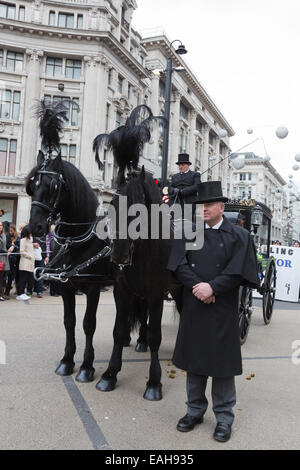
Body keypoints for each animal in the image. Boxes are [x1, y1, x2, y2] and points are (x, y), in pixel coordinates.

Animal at [25, 151, 112, 382]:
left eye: (53, 186)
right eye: (32, 185)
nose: (34, 227)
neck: (74, 242)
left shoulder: (93, 286)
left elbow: (88, 324)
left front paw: (86, 367)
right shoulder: (65, 286)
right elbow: (69, 322)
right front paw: (66, 361)